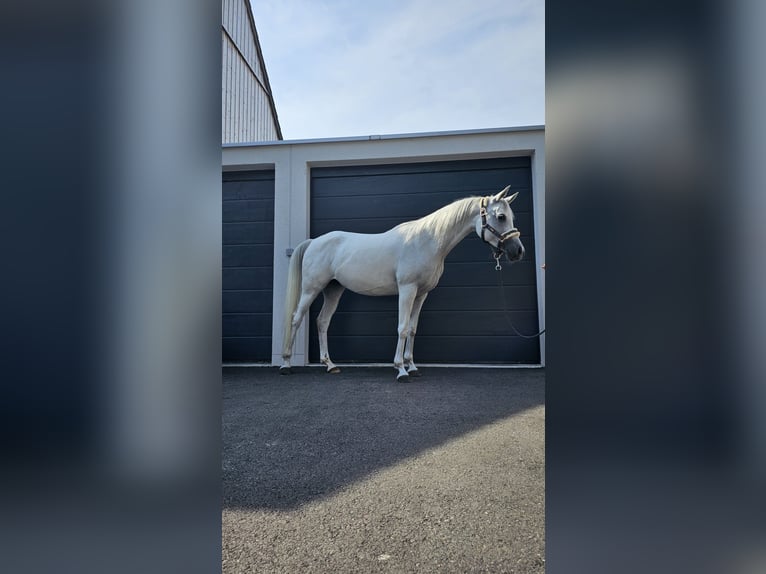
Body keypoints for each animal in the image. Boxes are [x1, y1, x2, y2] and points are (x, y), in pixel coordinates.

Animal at [282, 186, 528, 382]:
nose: (518, 251)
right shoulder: (407, 290)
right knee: (296, 319)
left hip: (333, 290)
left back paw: (330, 365)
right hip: (311, 289)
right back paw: (286, 364)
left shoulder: (421, 294)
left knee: (322, 322)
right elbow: (401, 328)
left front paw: (413, 367)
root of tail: (314, 242)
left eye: (511, 216)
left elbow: (412, 329)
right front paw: (400, 370)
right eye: (500, 216)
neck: (427, 241)